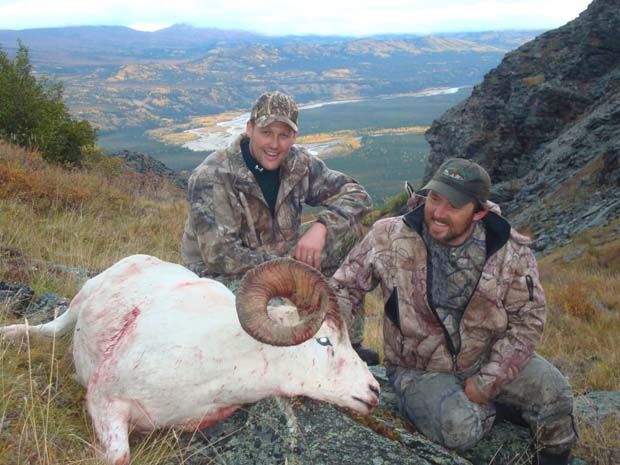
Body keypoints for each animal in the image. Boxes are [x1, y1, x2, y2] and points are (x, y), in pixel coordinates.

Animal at [0, 254, 380, 464]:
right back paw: (9, 333)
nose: (373, 391)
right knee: (48, 330)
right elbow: (118, 456)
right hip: (79, 304)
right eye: (324, 339)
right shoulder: (104, 401)